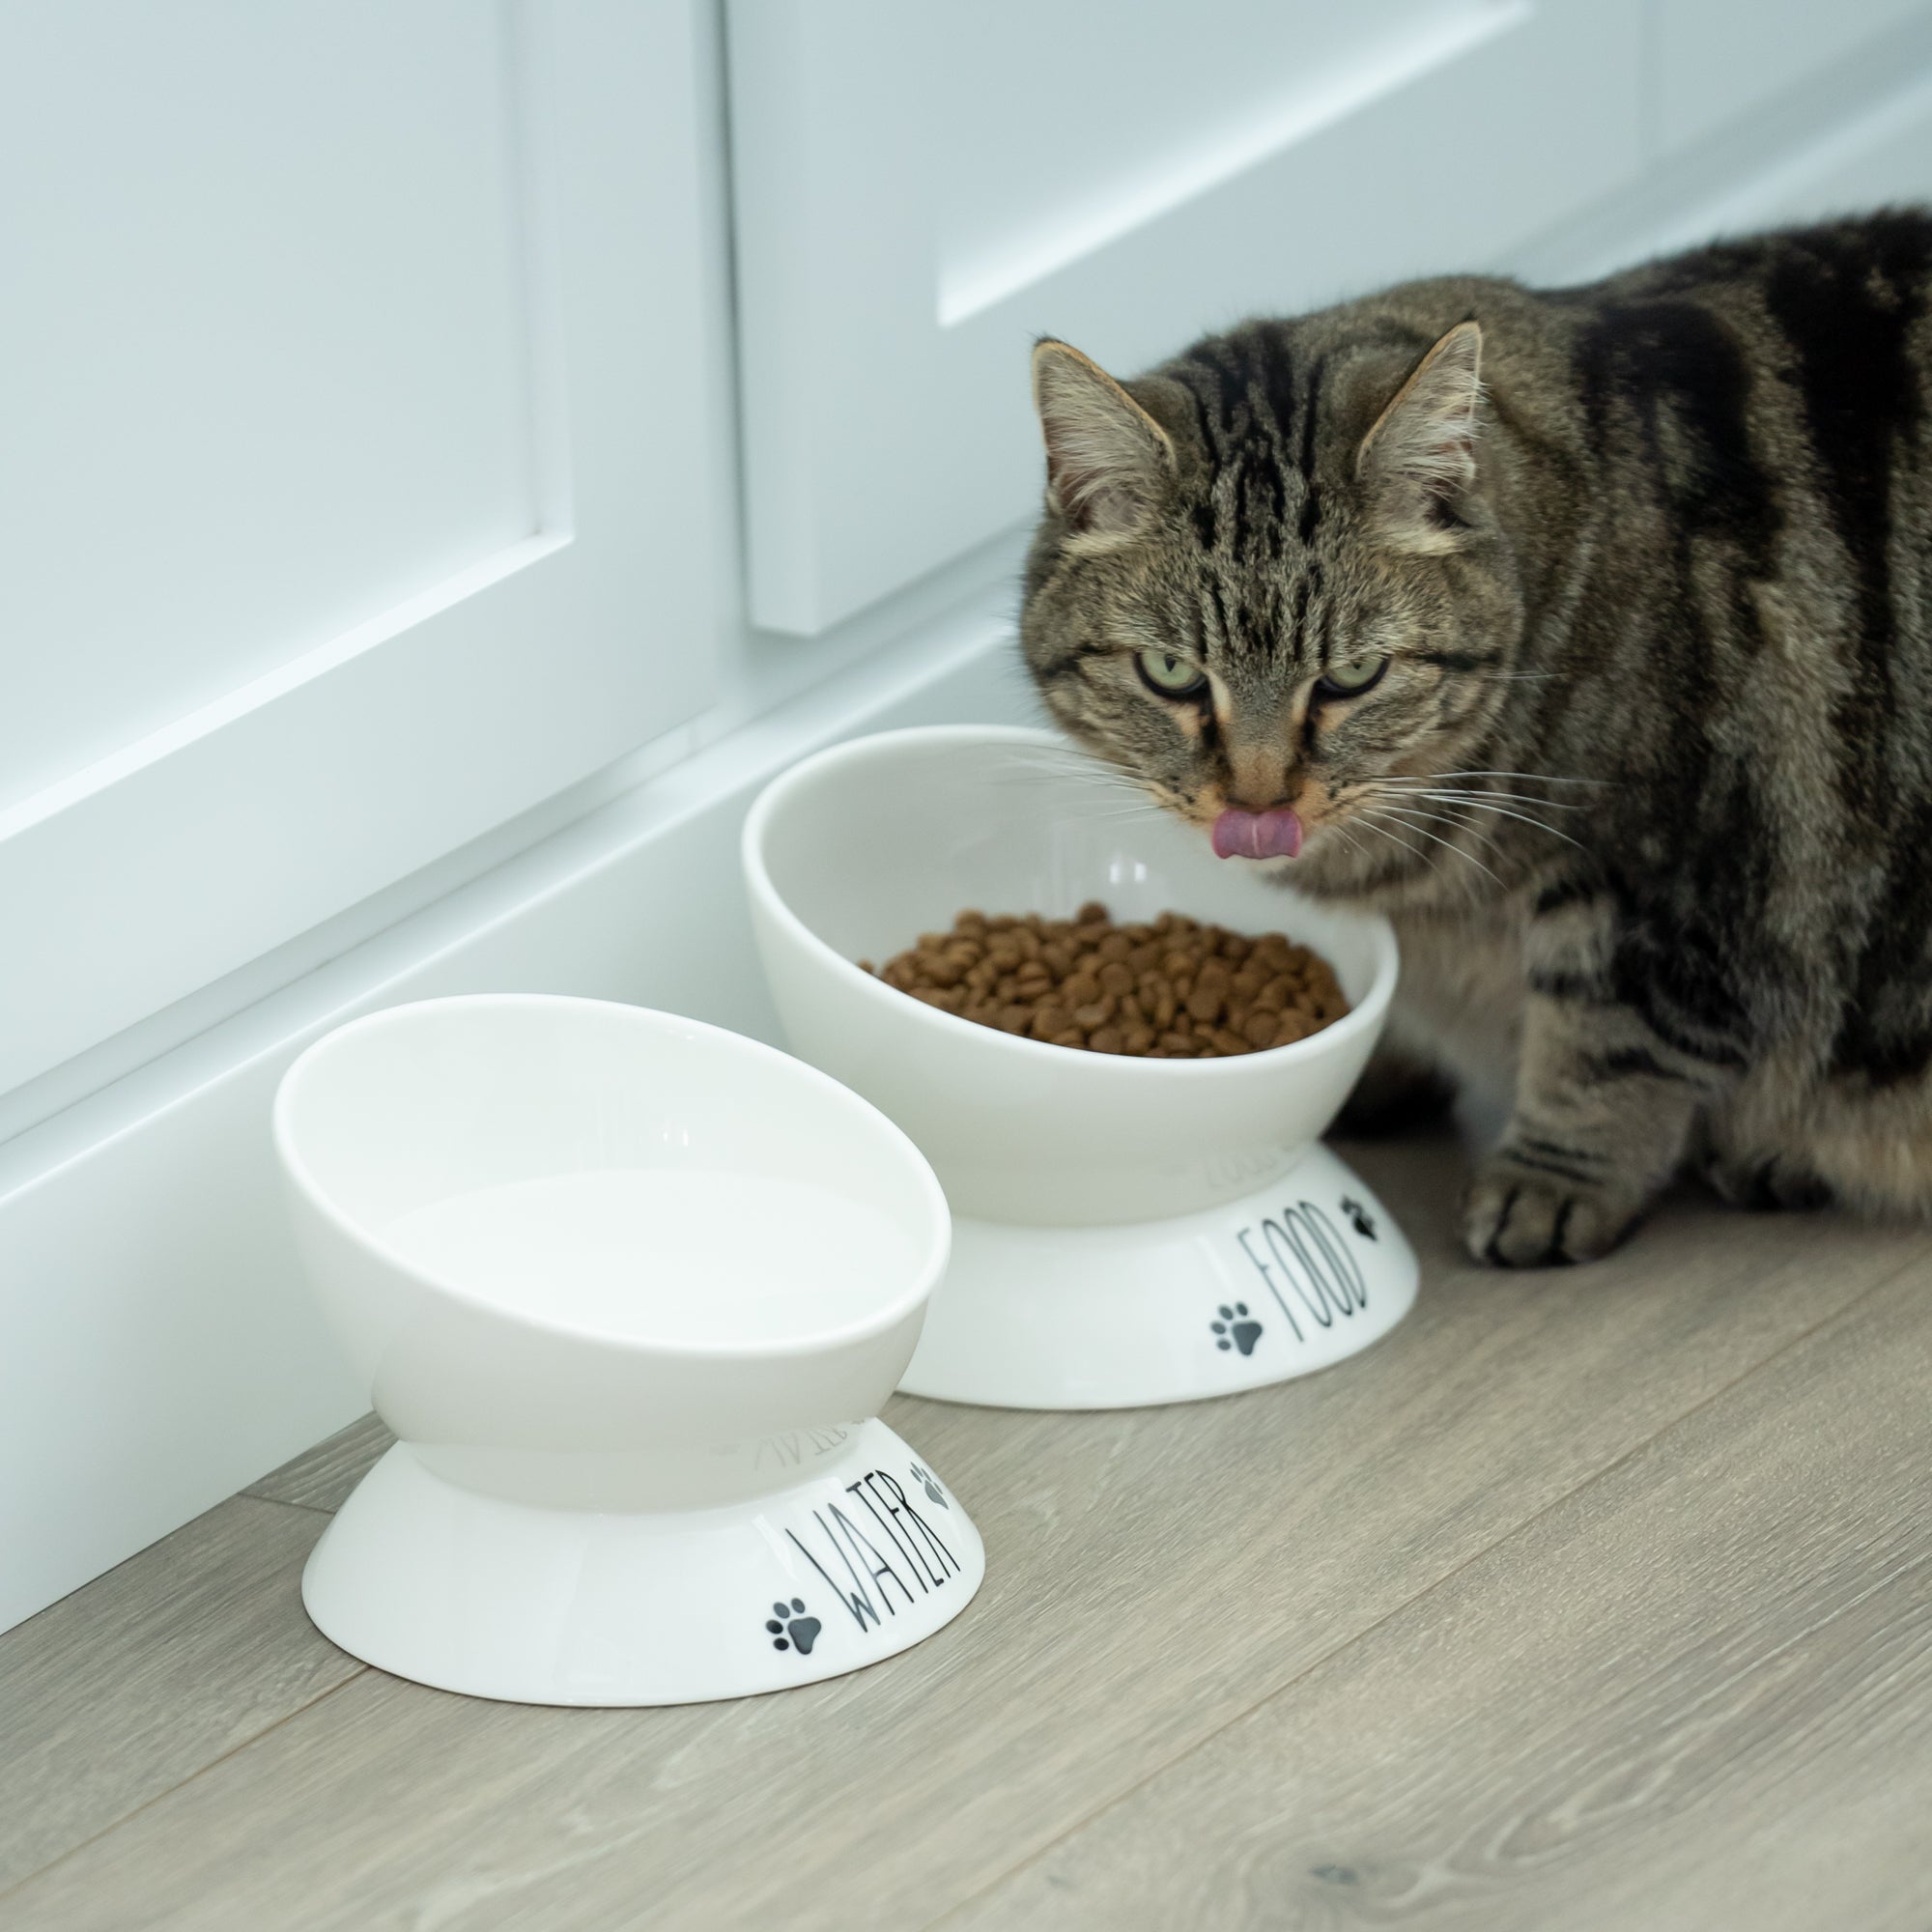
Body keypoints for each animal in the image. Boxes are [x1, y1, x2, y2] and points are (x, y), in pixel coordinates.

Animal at [1020, 212, 1932, 1267]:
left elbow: (1608, 1046)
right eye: (1170, 673)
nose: (1257, 800)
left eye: (1351, 677)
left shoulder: (1672, 866)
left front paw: (1550, 1179)